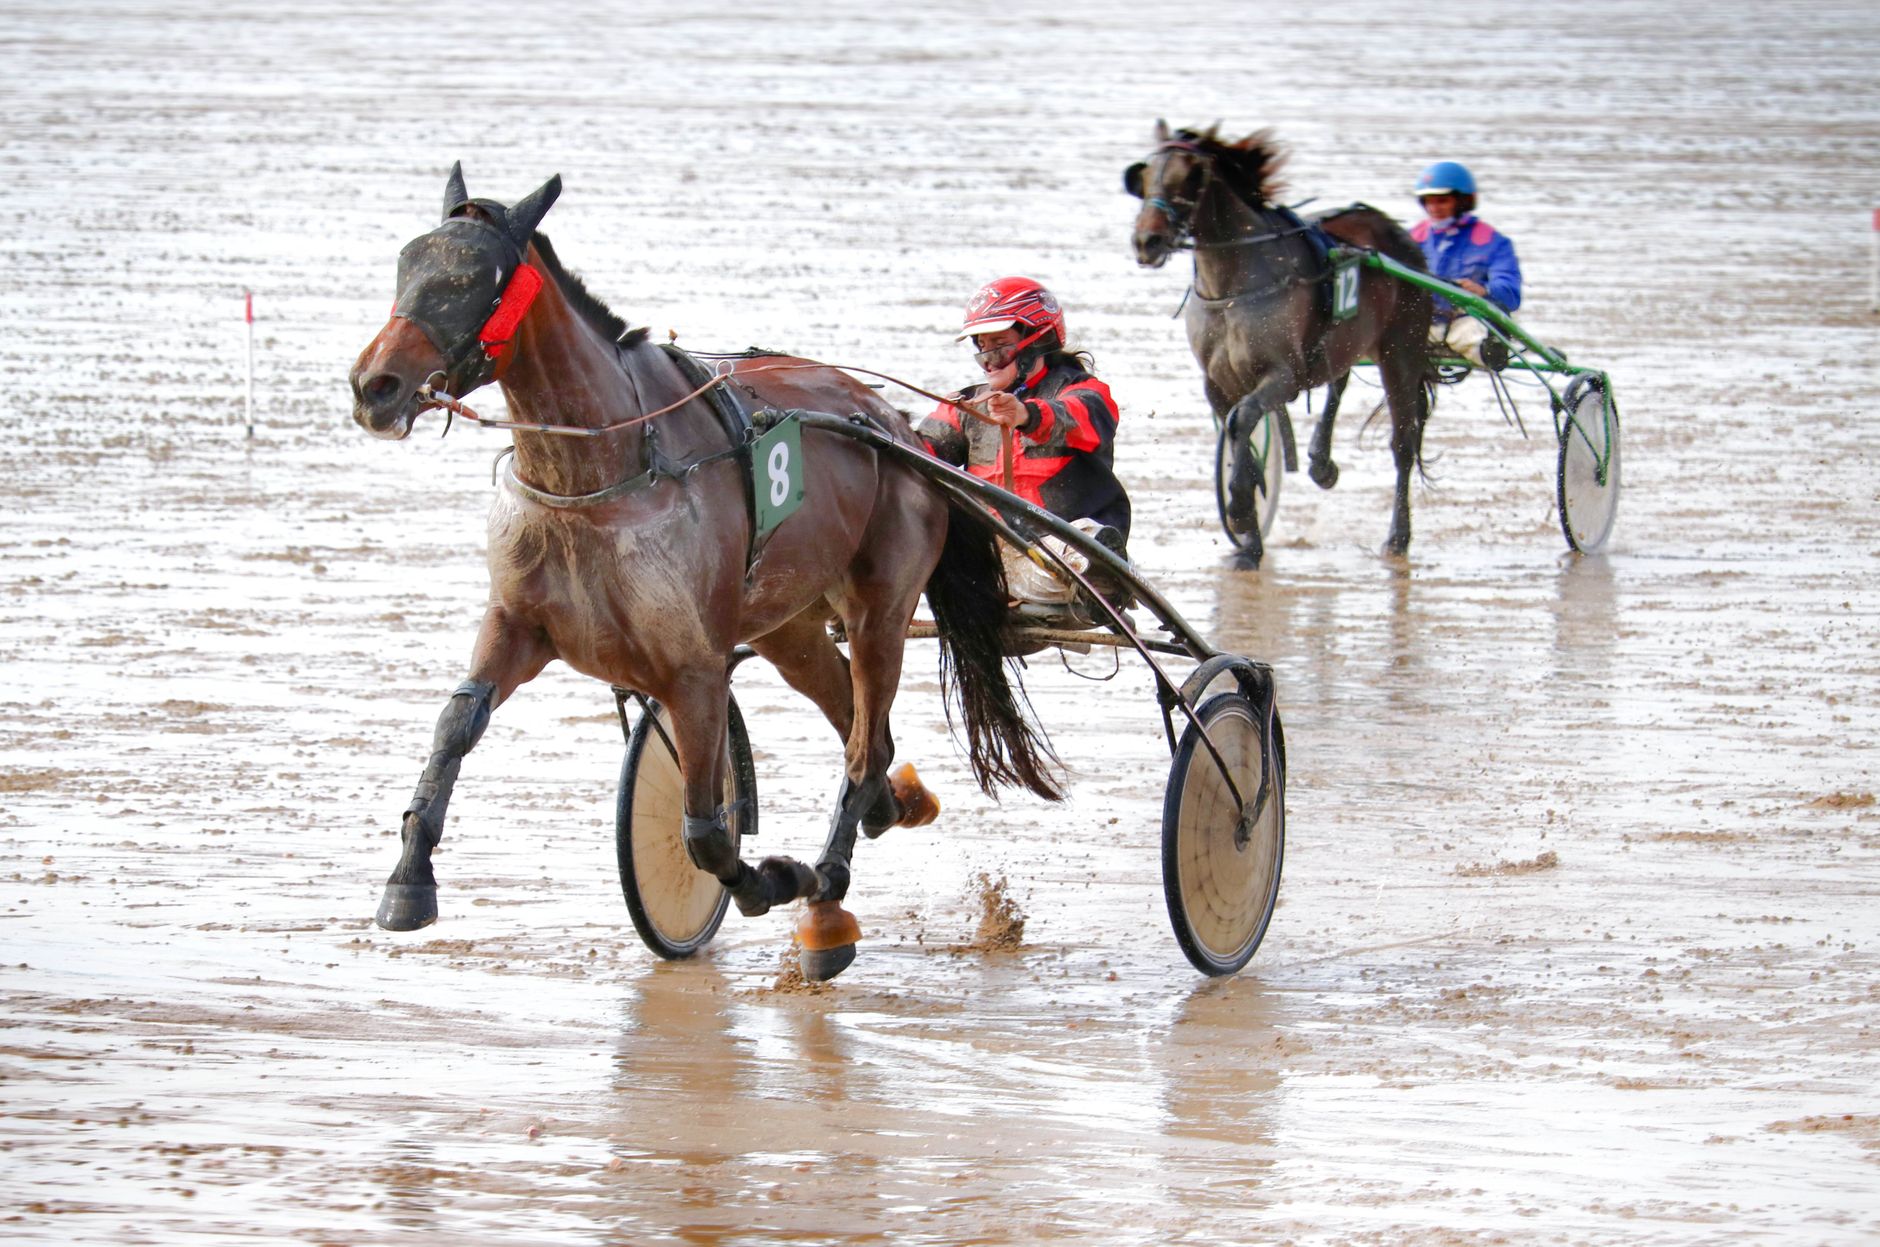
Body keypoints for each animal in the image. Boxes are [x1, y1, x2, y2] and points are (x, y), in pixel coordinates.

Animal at [348, 164, 1061, 981]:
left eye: (476, 278)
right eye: (406, 264)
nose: (375, 385)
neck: (607, 469)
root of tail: (905, 431)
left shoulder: (693, 666)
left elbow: (707, 830)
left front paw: (769, 879)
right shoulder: (518, 623)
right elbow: (455, 725)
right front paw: (408, 880)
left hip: (880, 608)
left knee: (861, 742)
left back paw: (825, 895)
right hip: (790, 628)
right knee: (862, 732)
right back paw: (889, 809)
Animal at [1125, 121, 1435, 565]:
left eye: (1191, 176)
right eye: (1146, 174)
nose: (1146, 241)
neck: (1232, 287)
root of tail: (1399, 237)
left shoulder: (1282, 376)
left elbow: (1242, 419)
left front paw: (1240, 507)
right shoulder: (1215, 381)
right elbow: (1235, 427)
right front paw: (1250, 533)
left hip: (1401, 350)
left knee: (1404, 442)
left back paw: (1398, 536)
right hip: (1348, 342)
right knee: (1339, 380)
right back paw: (1322, 463)